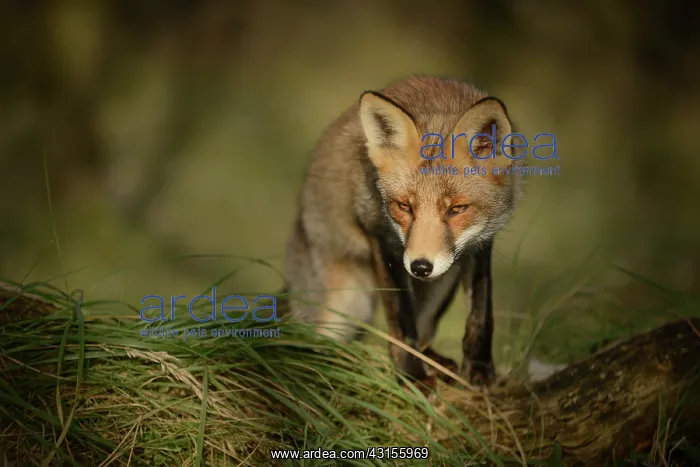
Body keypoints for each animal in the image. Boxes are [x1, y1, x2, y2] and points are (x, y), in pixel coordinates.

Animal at [283, 75, 523, 386]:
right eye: (404, 206)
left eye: (457, 209)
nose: (420, 267)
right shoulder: (380, 235)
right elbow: (401, 319)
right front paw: (411, 375)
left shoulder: (481, 242)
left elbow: (481, 313)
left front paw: (479, 368)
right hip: (347, 301)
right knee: (310, 340)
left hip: (444, 279)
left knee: (424, 329)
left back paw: (435, 361)